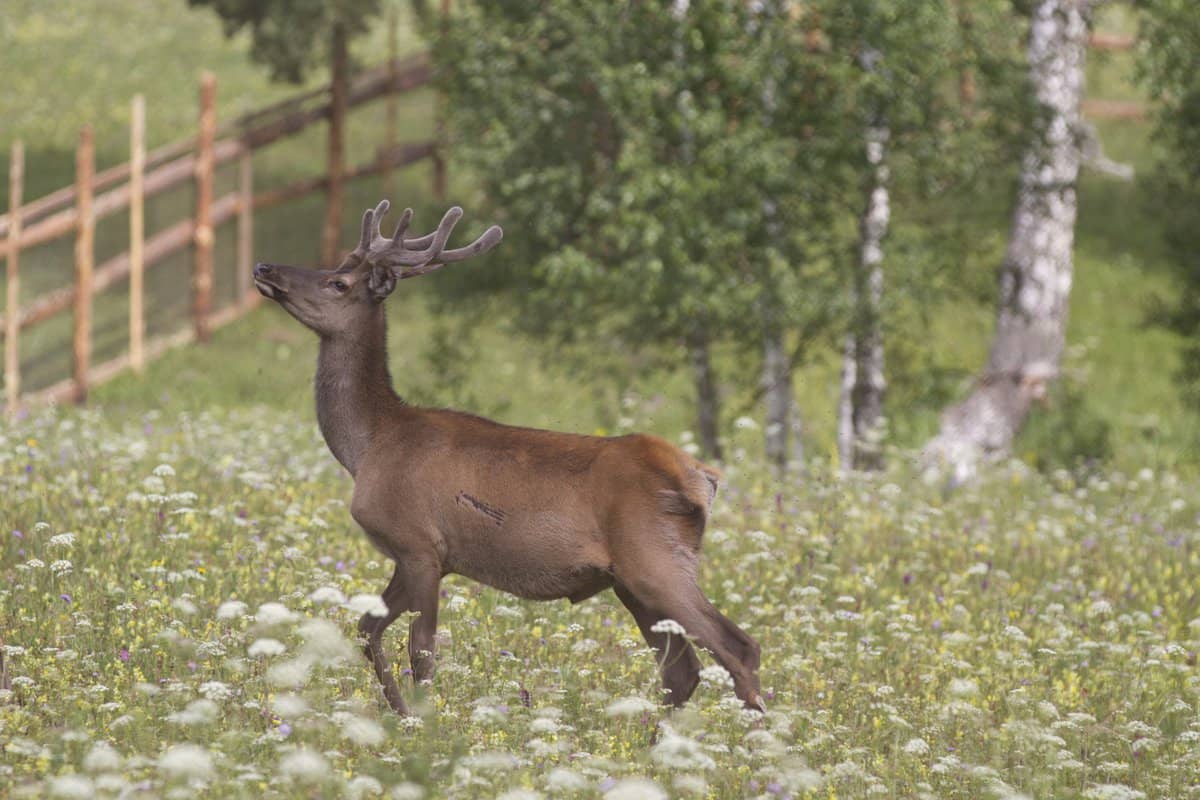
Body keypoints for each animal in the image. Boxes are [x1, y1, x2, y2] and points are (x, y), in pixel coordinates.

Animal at [249, 199, 763, 714]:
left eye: (338, 282)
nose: (264, 267)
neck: (368, 445)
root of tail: (702, 478)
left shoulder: (420, 544)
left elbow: (422, 650)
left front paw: (421, 722)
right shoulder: (414, 554)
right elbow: (365, 629)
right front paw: (398, 714)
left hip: (655, 559)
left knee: (738, 646)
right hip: (629, 580)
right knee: (681, 670)